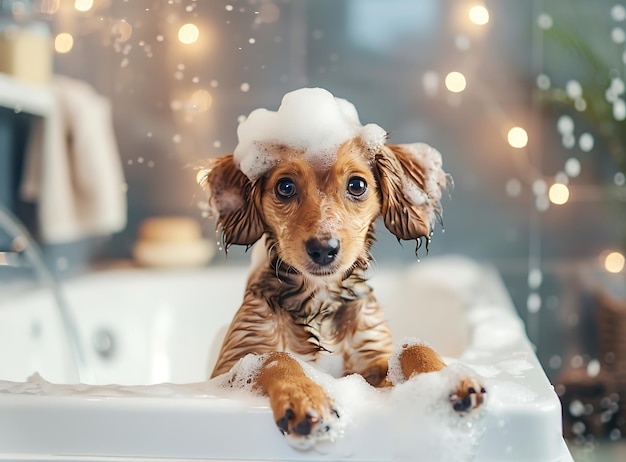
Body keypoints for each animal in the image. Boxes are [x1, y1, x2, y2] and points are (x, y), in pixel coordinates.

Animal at [197, 88, 486, 450]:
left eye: (357, 185)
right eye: (285, 187)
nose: (324, 249)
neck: (319, 301)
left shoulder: (371, 362)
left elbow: (411, 346)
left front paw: (443, 379)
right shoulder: (229, 367)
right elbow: (276, 358)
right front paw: (304, 397)